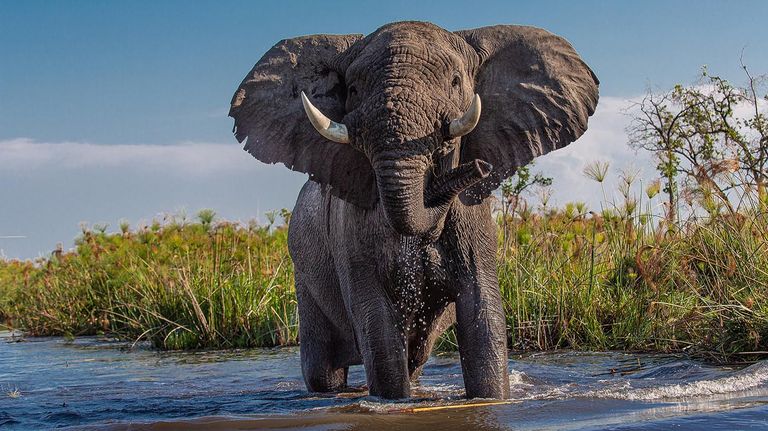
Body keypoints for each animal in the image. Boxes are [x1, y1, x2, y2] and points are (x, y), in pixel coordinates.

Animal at [229, 21, 598, 399]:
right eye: (353, 89)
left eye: (455, 81)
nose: (479, 167)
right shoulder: (350, 230)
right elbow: (376, 323)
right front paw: (392, 402)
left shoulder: (474, 222)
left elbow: (483, 313)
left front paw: (491, 399)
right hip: (304, 272)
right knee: (324, 371)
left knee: (415, 359)